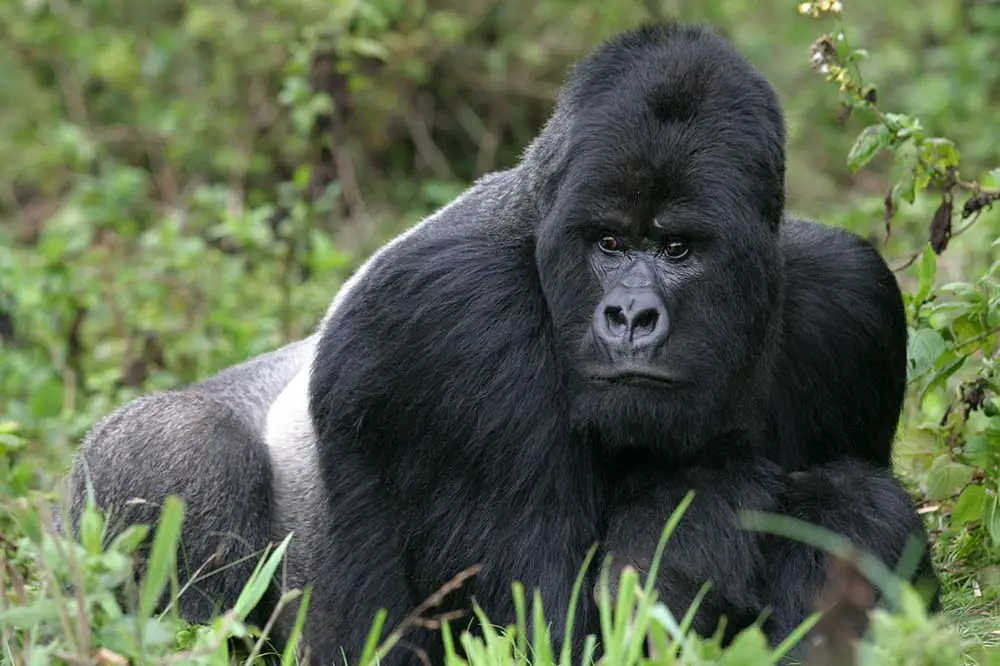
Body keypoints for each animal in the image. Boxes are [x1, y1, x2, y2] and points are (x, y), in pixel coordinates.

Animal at [68, 20, 936, 664]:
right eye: (609, 243)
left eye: (678, 249)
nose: (630, 318)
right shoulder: (457, 321)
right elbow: (542, 625)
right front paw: (704, 500)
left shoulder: (849, 300)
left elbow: (858, 505)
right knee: (181, 446)